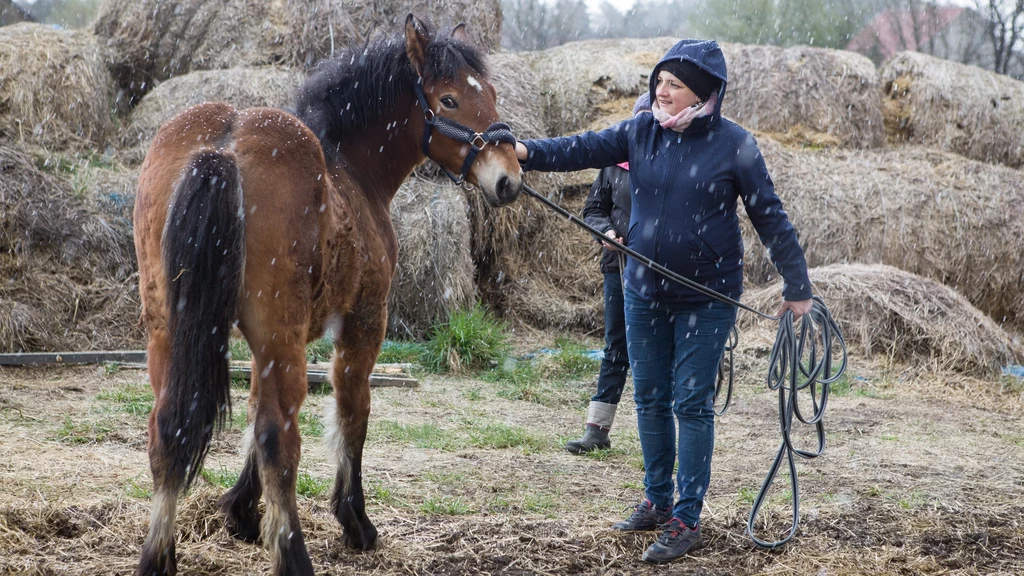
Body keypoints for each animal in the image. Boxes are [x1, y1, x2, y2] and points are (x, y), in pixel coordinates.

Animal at [130, 15, 520, 569]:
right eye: (448, 100)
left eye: (489, 92)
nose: (509, 177)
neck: (348, 171)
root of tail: (223, 144)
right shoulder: (362, 324)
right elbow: (352, 414)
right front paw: (354, 519)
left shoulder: (262, 346)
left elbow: (253, 413)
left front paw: (241, 511)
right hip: (281, 333)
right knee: (279, 439)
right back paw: (294, 555)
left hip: (171, 329)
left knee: (171, 427)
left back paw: (158, 556)